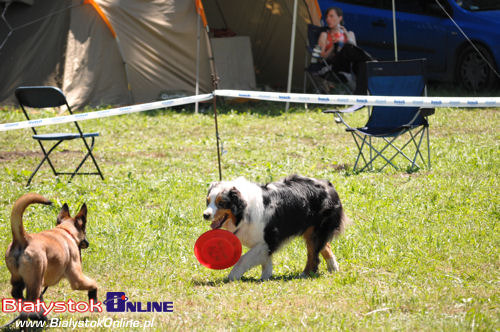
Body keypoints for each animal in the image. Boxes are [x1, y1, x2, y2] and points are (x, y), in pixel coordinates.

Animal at [203, 174, 348, 280]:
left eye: (221, 203)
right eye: (208, 201)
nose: (205, 215)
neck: (244, 210)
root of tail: (328, 184)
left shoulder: (268, 240)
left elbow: (244, 258)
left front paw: (233, 275)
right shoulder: (264, 244)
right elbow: (266, 262)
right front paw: (265, 277)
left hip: (316, 231)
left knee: (313, 255)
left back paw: (305, 274)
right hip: (312, 231)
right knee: (325, 247)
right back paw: (333, 269)